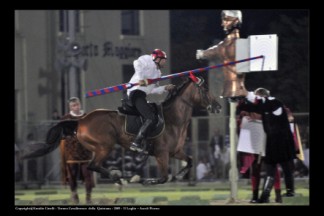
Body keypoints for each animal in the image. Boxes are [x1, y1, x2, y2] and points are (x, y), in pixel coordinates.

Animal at [21, 75, 221, 184]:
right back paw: (122, 176)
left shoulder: (175, 152)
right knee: (94, 165)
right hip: (105, 146)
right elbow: (163, 177)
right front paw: (145, 180)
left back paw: (121, 176)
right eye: (205, 88)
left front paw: (179, 175)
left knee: (95, 166)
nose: (218, 106)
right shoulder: (161, 154)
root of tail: (81, 120)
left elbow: (190, 161)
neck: (174, 119)